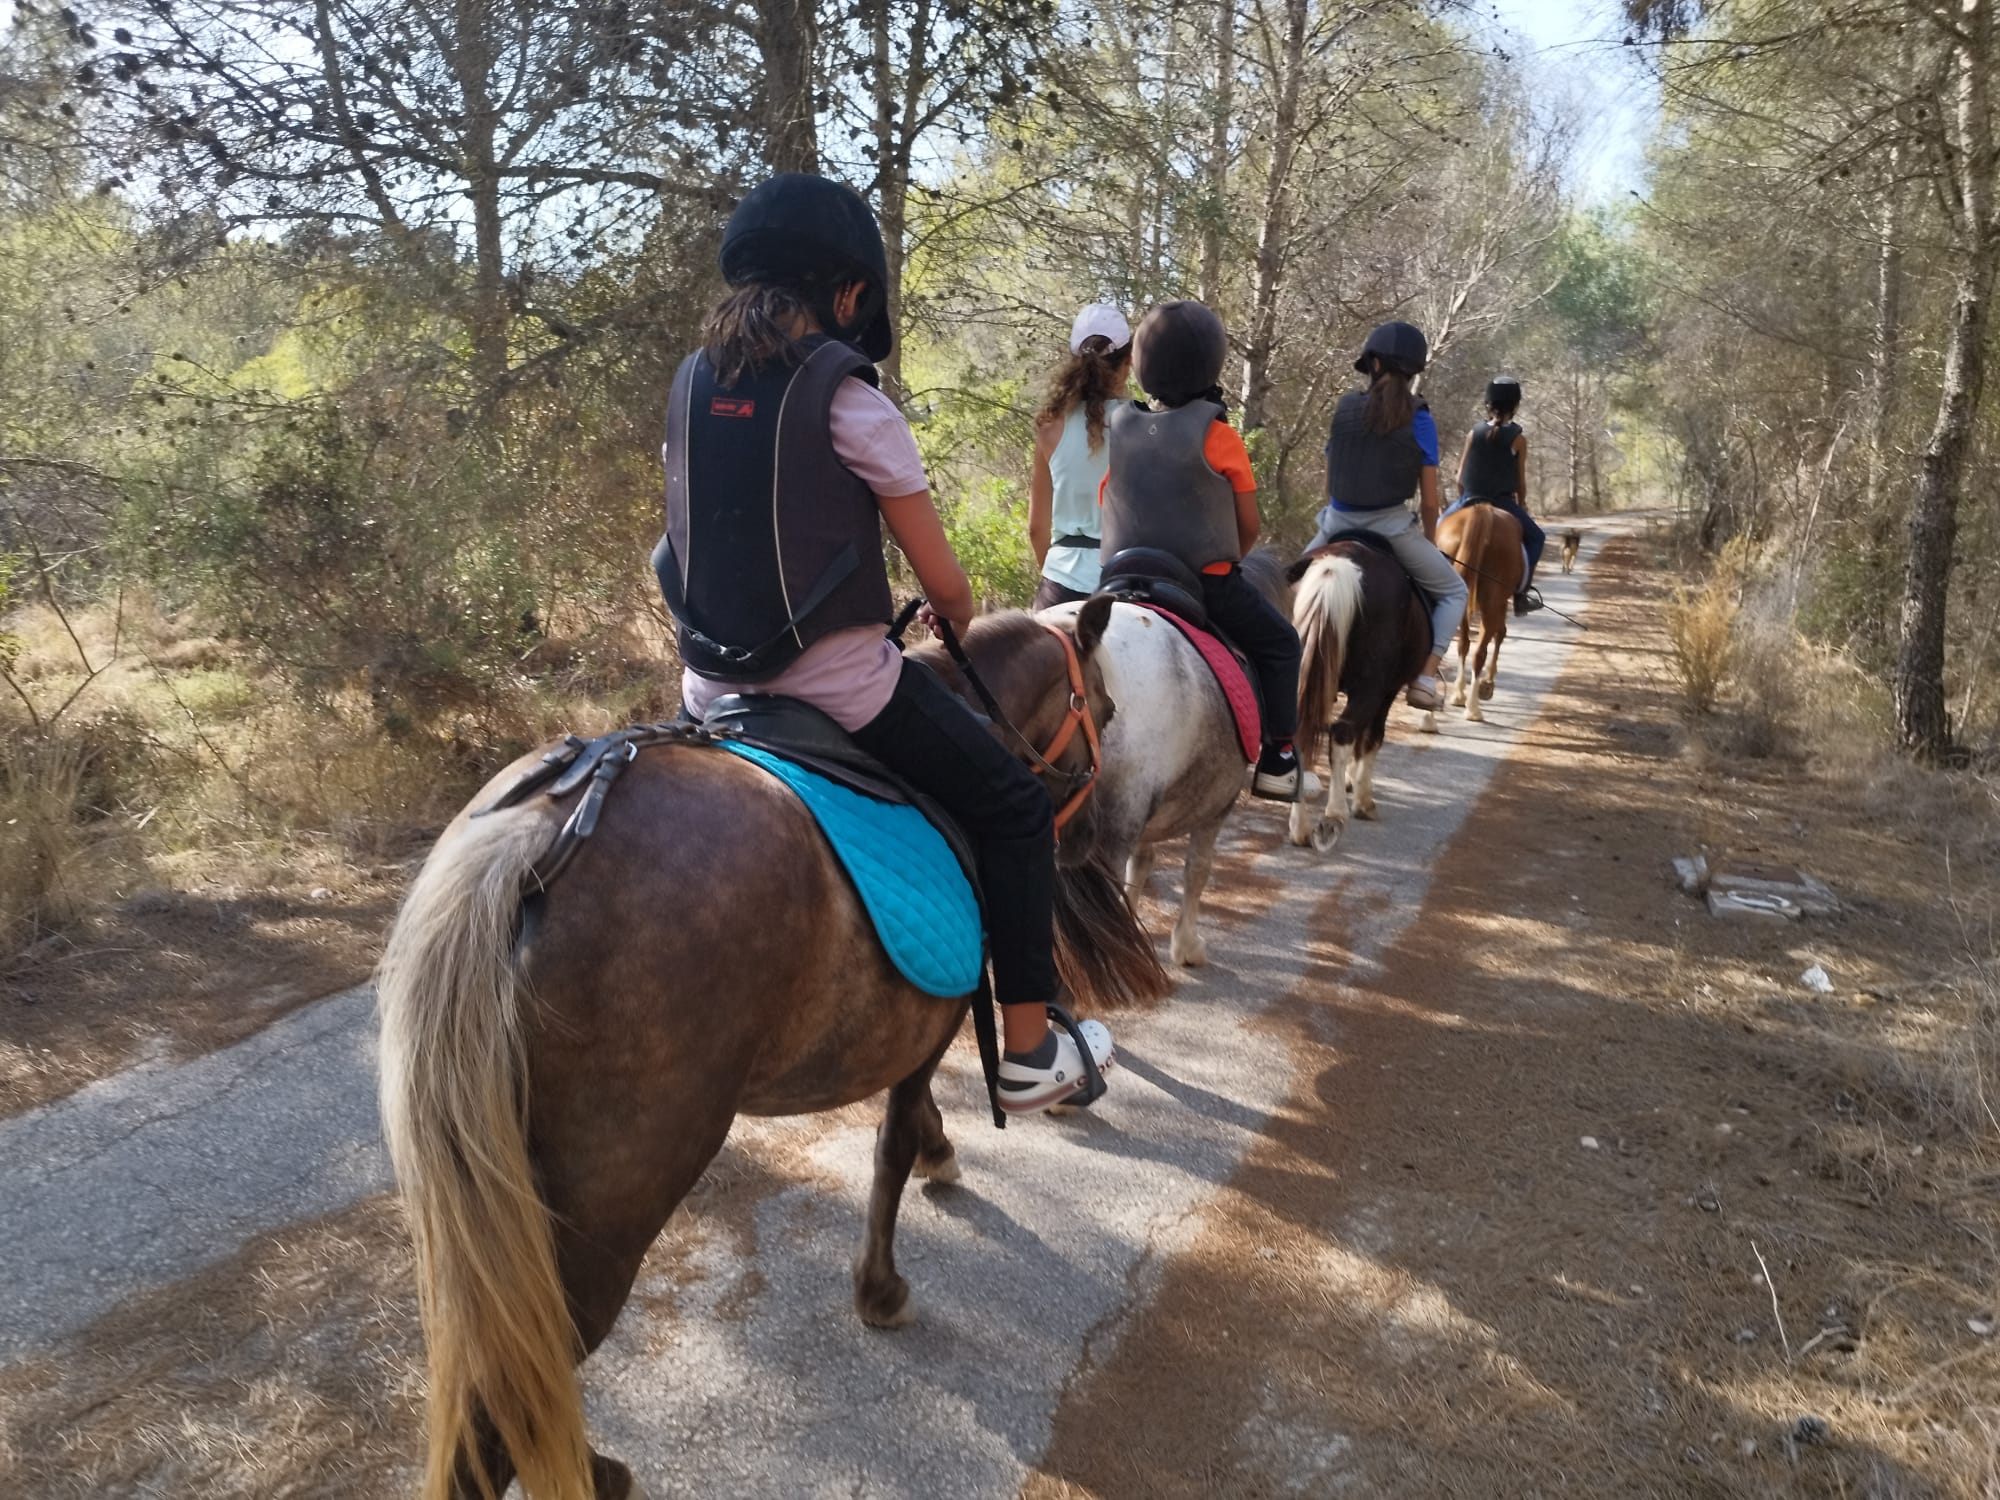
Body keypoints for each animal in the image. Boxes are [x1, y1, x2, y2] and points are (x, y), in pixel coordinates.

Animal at [376, 602, 1170, 1500]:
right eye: (1104, 709)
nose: (1086, 844)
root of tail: (537, 840)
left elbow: (912, 1128)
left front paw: (938, 1157)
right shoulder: (927, 1027)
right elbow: (894, 1144)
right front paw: (881, 1288)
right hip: (608, 1202)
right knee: (501, 1410)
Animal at [1284, 543, 1432, 852]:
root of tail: (1335, 568)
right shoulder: (1386, 691)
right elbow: (1372, 738)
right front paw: (1362, 800)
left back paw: (1300, 828)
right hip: (1370, 687)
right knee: (1343, 733)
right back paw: (1334, 816)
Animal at [1436, 502, 1525, 723]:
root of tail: (1482, 510)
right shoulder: (1500, 603)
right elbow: (1501, 633)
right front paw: (1488, 684)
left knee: (1464, 644)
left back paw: (1459, 695)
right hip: (1491, 602)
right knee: (1480, 651)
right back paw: (1473, 708)